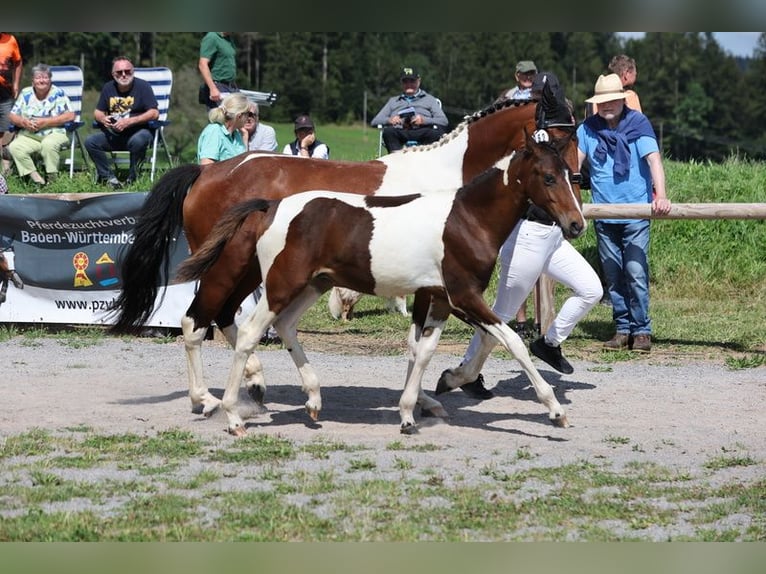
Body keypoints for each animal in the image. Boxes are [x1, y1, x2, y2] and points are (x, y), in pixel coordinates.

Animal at [109, 97, 584, 420]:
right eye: (561, 137)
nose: (576, 214)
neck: (449, 188)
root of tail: (206, 172)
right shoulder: (446, 285)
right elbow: (484, 335)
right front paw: (451, 383)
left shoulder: (432, 286)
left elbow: (428, 342)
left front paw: (430, 394)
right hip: (232, 266)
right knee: (199, 320)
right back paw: (208, 398)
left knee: (227, 318)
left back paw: (258, 385)